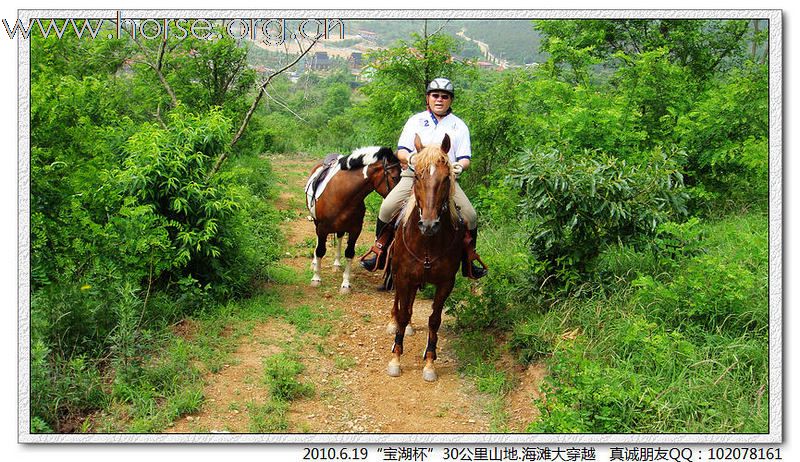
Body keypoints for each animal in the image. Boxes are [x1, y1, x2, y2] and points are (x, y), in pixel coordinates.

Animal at [306, 146, 400, 294]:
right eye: (395, 177)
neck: (343, 194)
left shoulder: (355, 230)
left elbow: (350, 253)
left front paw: (345, 284)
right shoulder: (322, 228)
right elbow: (320, 250)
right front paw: (316, 278)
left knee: (339, 238)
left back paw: (337, 264)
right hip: (317, 223)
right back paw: (315, 263)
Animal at [386, 134, 466, 382]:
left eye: (446, 178)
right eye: (418, 175)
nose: (429, 224)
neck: (428, 243)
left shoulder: (446, 283)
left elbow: (434, 319)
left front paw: (430, 362)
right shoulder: (404, 277)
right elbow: (403, 313)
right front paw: (395, 358)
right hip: (398, 273)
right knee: (400, 303)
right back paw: (394, 323)